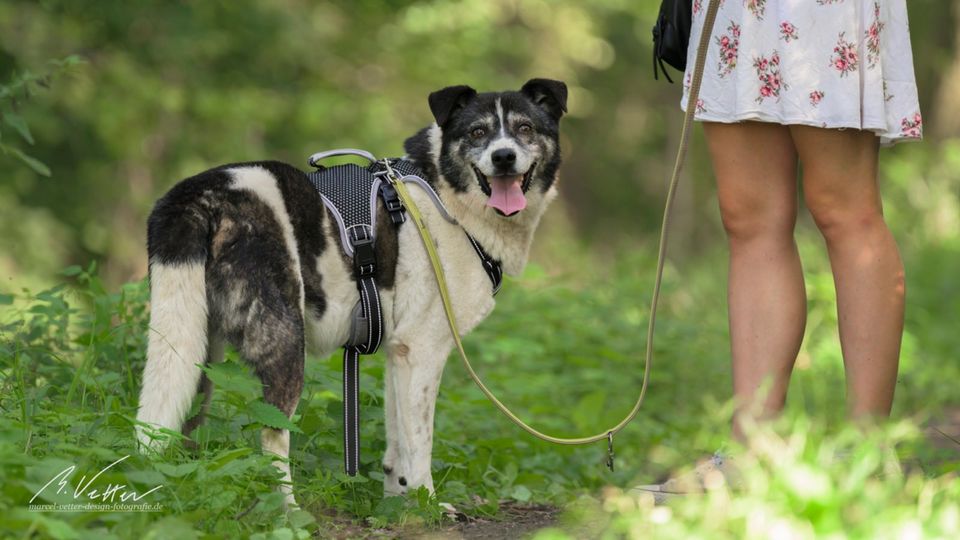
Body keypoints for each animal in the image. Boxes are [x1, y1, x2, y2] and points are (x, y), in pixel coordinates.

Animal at [136, 77, 568, 506]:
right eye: (478, 132)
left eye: (525, 128)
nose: (503, 157)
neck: (448, 195)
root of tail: (197, 195)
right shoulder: (424, 351)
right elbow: (419, 443)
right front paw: (428, 504)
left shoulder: (400, 353)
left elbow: (397, 442)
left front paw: (399, 501)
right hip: (284, 341)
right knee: (273, 435)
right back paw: (287, 511)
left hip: (196, 352)